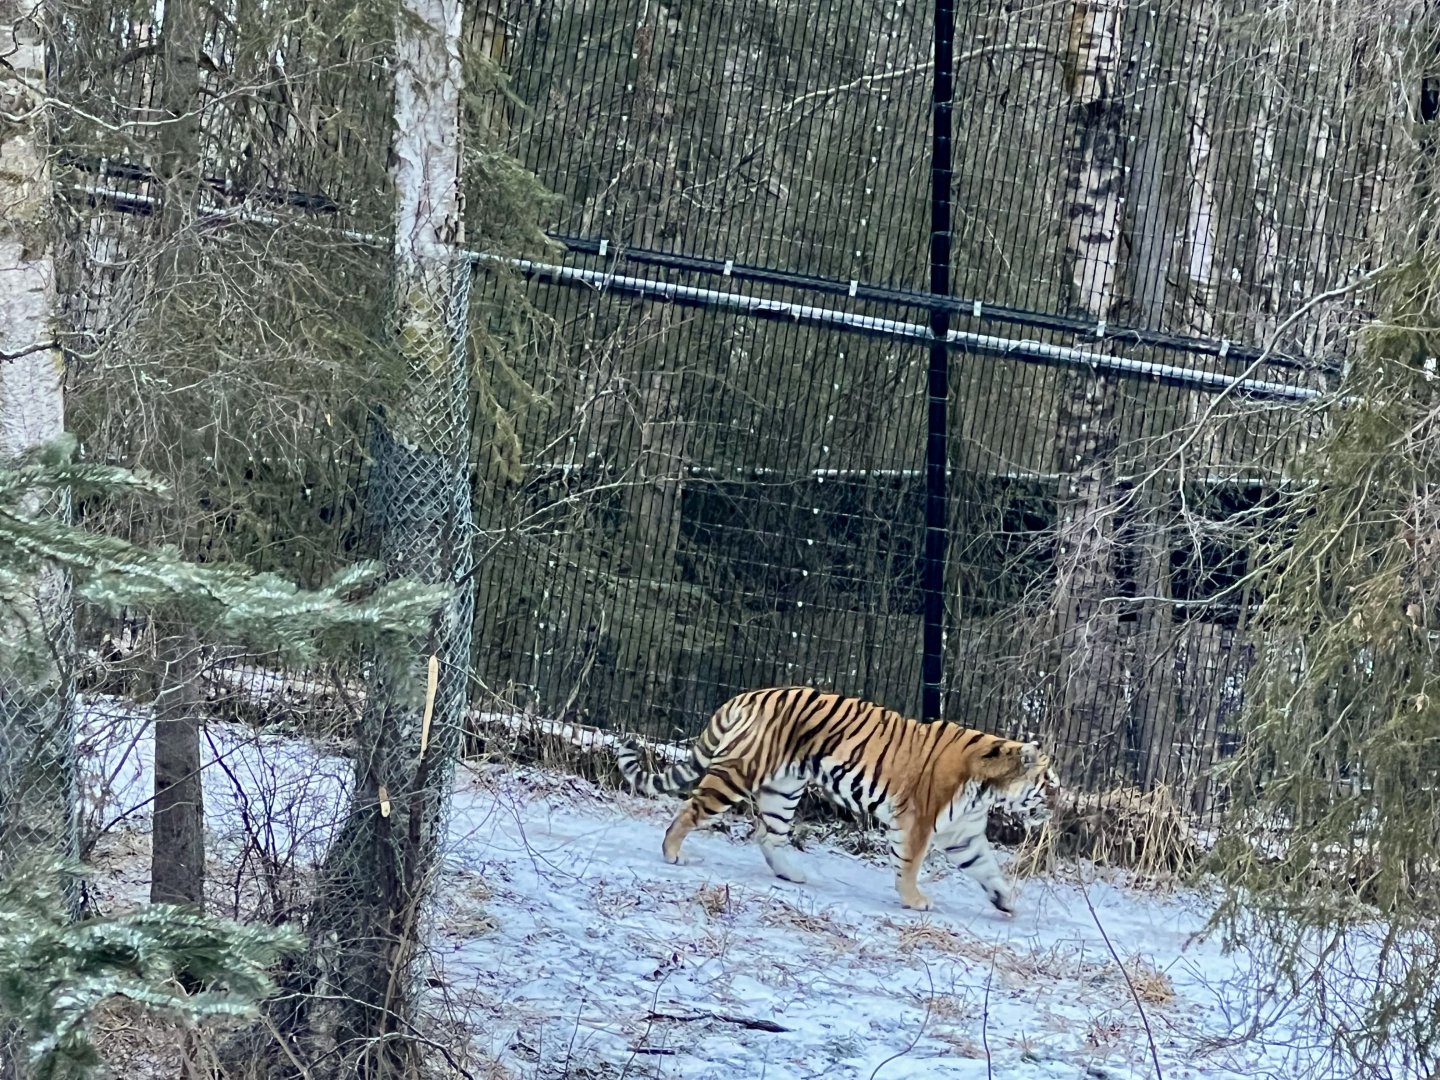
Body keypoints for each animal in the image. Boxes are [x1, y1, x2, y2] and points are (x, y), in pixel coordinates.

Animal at [615, 686, 1060, 915]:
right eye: (1049, 782)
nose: (1059, 803)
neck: (988, 787)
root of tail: (745, 696)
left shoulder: (961, 833)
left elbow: (987, 867)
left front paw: (1006, 901)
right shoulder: (917, 821)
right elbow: (910, 864)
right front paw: (914, 900)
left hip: (784, 789)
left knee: (768, 835)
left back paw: (791, 874)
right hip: (738, 773)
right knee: (690, 810)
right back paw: (673, 853)